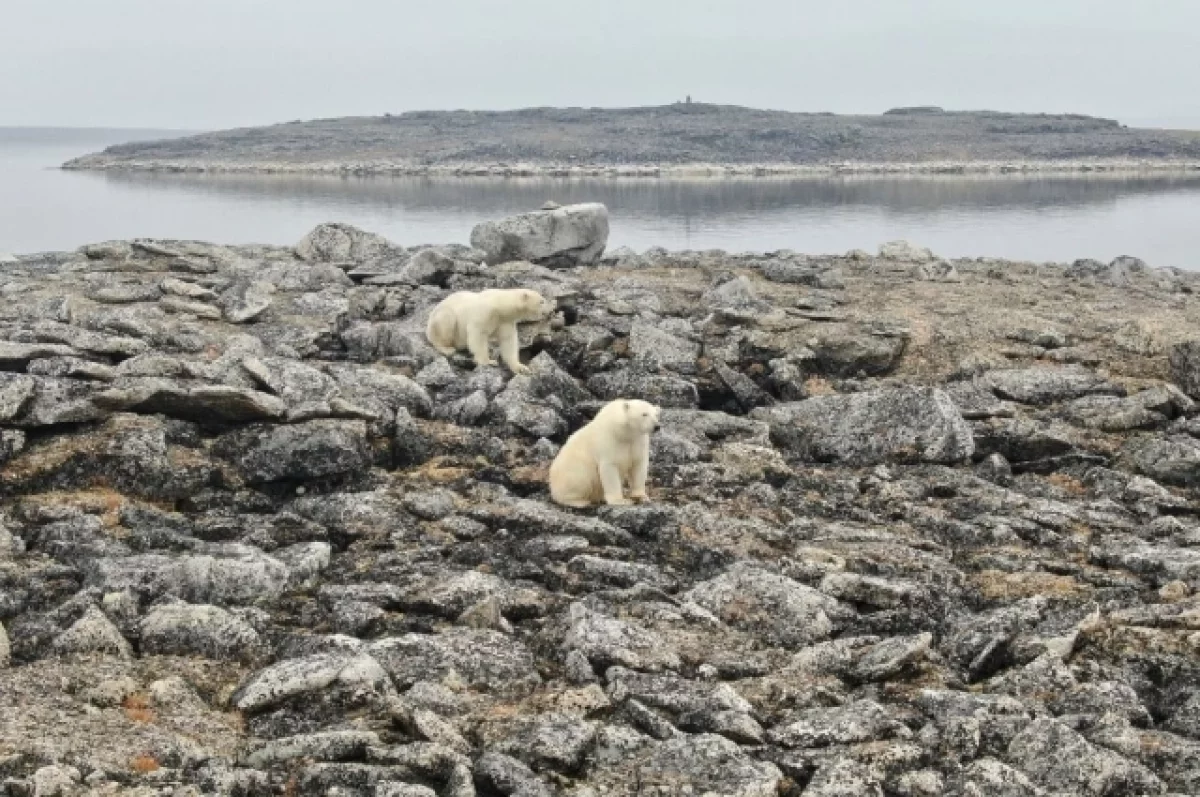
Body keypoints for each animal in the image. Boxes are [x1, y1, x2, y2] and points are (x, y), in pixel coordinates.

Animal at [424, 286, 554, 374]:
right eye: (542, 301)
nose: (551, 311)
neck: (501, 306)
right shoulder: (485, 312)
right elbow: (477, 334)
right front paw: (488, 361)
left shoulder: (506, 322)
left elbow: (508, 342)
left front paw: (521, 367)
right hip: (441, 318)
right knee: (446, 321)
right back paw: (447, 349)